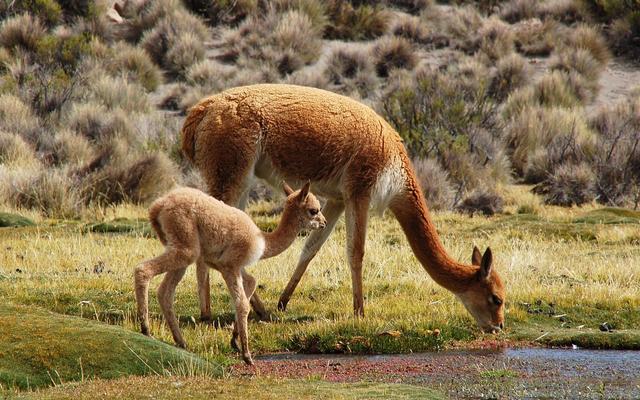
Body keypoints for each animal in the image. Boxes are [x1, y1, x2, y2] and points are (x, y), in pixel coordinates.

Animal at [134, 182, 326, 365]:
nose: (324, 223)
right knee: (143, 269)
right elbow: (242, 304)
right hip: (186, 246)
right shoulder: (229, 265)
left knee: (164, 292)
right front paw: (247, 355)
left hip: (180, 250)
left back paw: (180, 342)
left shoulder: (232, 266)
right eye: (313, 210)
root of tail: (158, 206)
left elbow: (251, 283)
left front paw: (235, 340)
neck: (263, 241)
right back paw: (146, 329)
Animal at [181, 84, 505, 333]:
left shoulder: (337, 199)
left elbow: (311, 248)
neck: (397, 176)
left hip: (237, 175)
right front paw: (360, 311)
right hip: (231, 169)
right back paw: (211, 312)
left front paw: (284, 301)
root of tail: (200, 112)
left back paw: (258, 309)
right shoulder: (360, 189)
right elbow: (356, 252)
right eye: (496, 298)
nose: (498, 326)